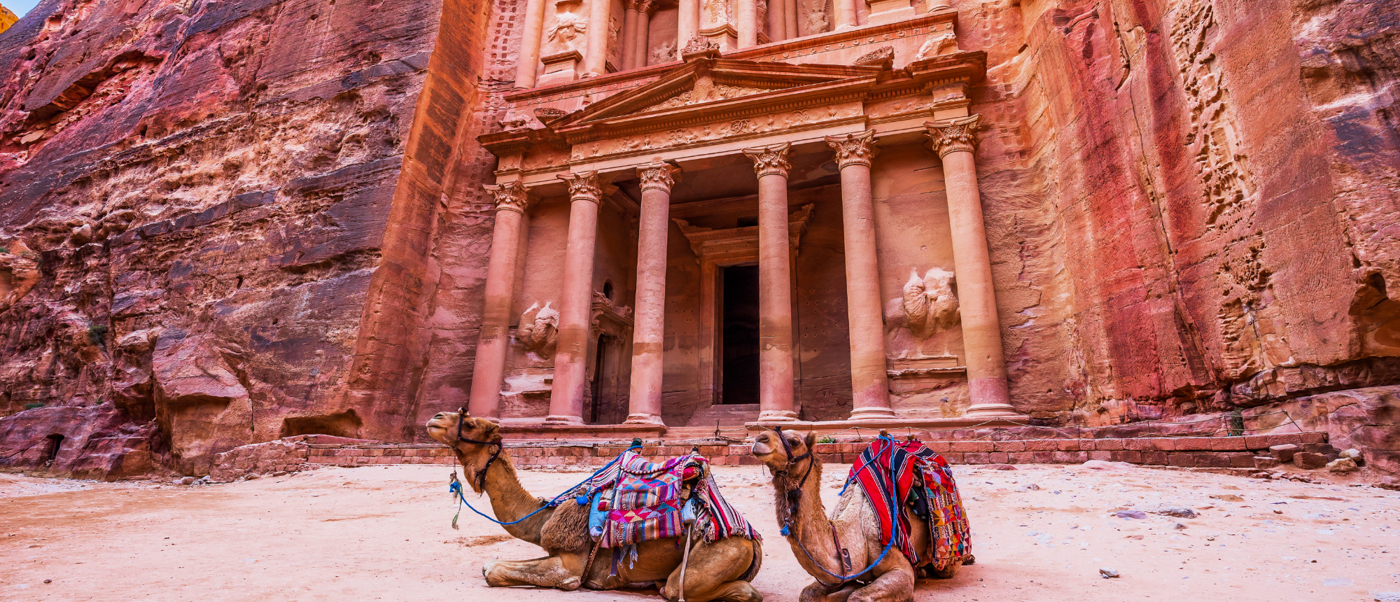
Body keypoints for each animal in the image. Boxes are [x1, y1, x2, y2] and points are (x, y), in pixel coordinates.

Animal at [426, 411, 764, 602]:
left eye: (470, 423)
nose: (435, 418)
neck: (546, 516)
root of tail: (752, 541)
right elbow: (489, 565)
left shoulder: (570, 565)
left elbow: (494, 570)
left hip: (719, 552)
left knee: (696, 590)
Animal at [752, 429, 963, 602]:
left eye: (794, 441)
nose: (759, 438)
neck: (855, 531)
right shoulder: (840, 575)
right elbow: (808, 594)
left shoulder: (900, 568)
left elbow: (857, 597)